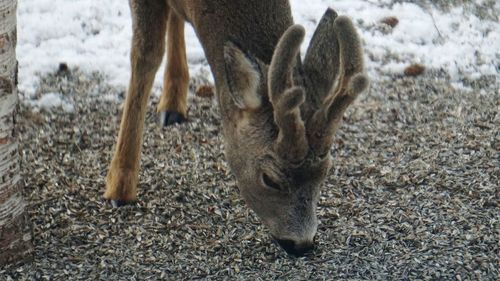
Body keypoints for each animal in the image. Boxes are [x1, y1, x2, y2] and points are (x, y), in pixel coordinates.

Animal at [103, 0, 370, 256]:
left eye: (325, 172)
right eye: (270, 179)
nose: (301, 244)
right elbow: (146, 55)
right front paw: (119, 187)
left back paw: (173, 102)